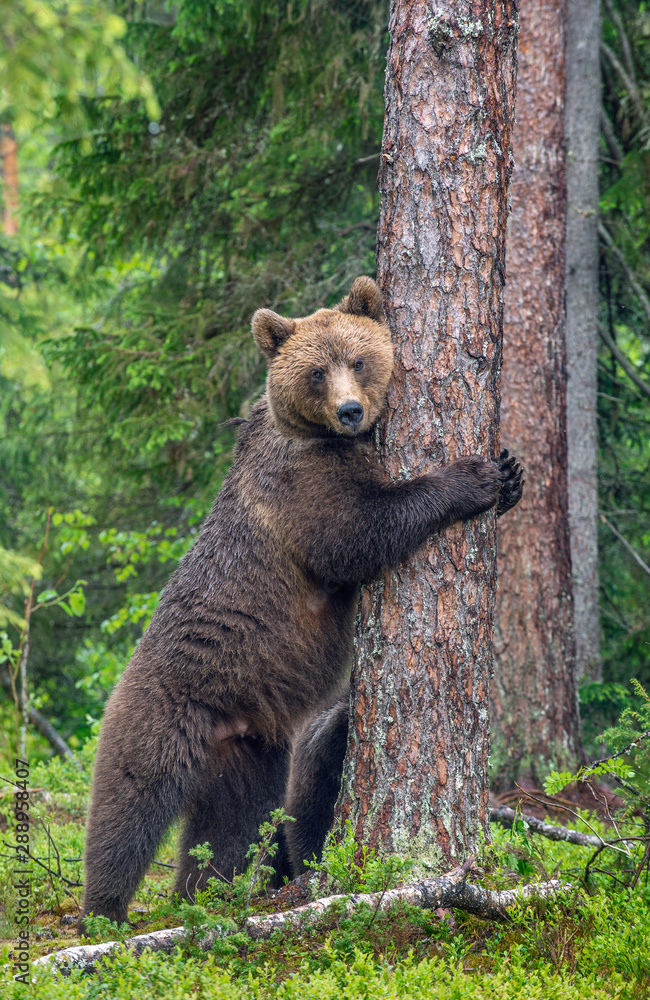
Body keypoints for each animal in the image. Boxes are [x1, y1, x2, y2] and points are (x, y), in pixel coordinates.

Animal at [81, 276, 523, 926]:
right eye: (317, 372)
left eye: (358, 360)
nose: (351, 410)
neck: (325, 438)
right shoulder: (296, 483)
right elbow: (357, 532)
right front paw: (470, 478)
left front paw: (510, 473)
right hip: (162, 709)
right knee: (128, 804)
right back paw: (103, 912)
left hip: (253, 754)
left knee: (232, 828)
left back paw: (209, 896)